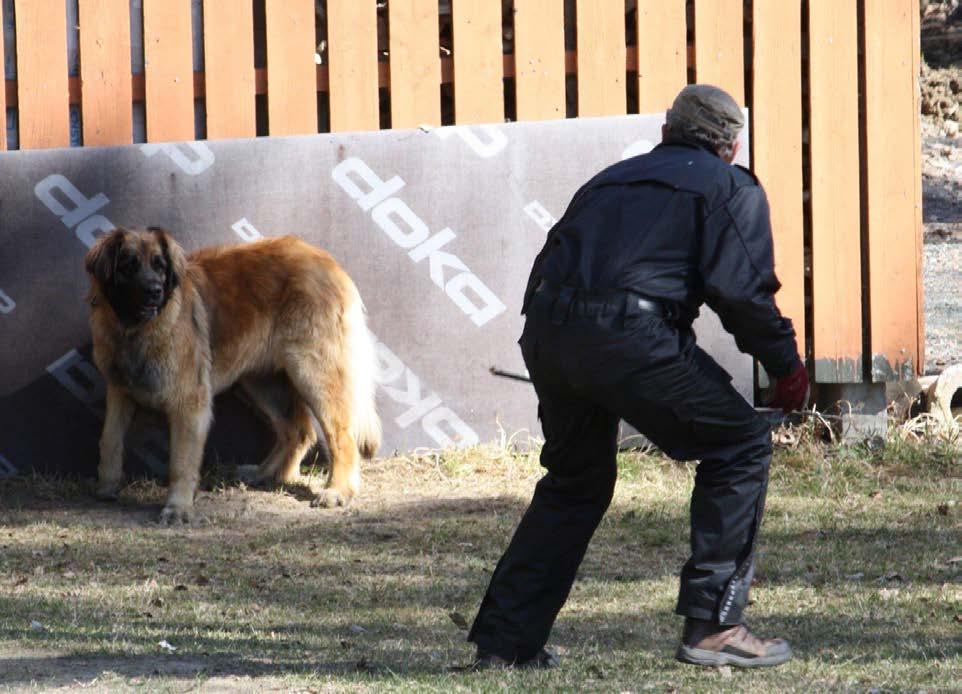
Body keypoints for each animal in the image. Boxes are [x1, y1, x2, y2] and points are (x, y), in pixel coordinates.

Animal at [83, 231, 378, 524]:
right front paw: (106, 487)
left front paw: (177, 508)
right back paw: (265, 473)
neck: (132, 331)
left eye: (160, 266)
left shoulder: (189, 404)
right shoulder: (119, 391)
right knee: (298, 430)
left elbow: (180, 463)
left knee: (341, 436)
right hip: (262, 381)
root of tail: (329, 263)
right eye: (128, 265)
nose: (155, 291)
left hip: (311, 372)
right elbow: (109, 440)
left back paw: (337, 490)